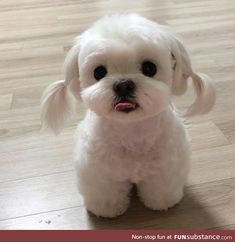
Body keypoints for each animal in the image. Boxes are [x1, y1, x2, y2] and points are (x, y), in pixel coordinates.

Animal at [40, 13, 217, 217]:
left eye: (149, 68)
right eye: (99, 72)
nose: (123, 85)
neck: (132, 132)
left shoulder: (164, 170)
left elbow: (161, 189)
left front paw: (162, 202)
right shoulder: (100, 174)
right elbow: (105, 194)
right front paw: (107, 210)